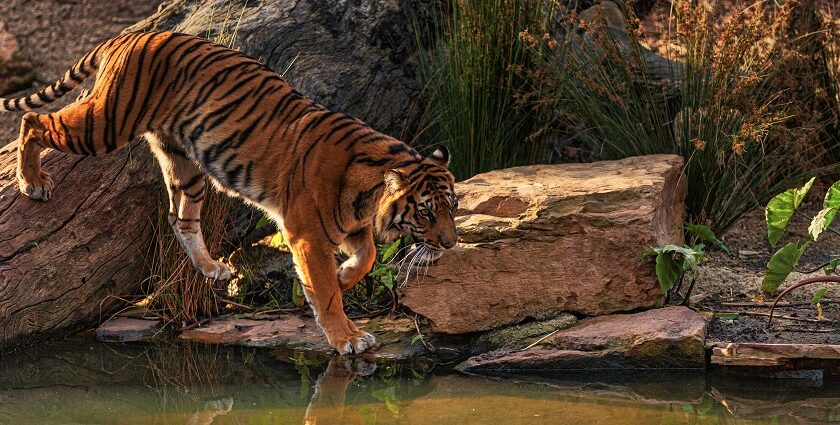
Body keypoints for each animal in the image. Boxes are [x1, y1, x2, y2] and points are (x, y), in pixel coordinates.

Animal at [0, 30, 460, 354]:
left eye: (452, 207)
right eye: (425, 211)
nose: (451, 244)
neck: (368, 193)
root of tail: (129, 35)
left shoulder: (347, 225)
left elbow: (367, 256)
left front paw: (347, 276)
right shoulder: (307, 233)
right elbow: (327, 292)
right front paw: (347, 336)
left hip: (183, 162)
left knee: (180, 218)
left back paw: (211, 269)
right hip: (106, 122)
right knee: (35, 122)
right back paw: (32, 182)